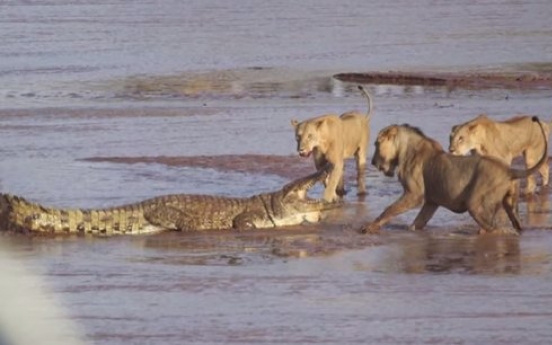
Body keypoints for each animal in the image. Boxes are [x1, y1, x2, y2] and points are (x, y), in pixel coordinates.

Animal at [362, 117, 548, 235]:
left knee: (495, 229)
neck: (404, 150)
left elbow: (389, 209)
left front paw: (369, 227)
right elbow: (417, 223)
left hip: (476, 204)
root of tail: (509, 170)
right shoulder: (431, 201)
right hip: (510, 204)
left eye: (376, 144)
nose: (372, 161)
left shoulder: (414, 194)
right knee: (515, 226)